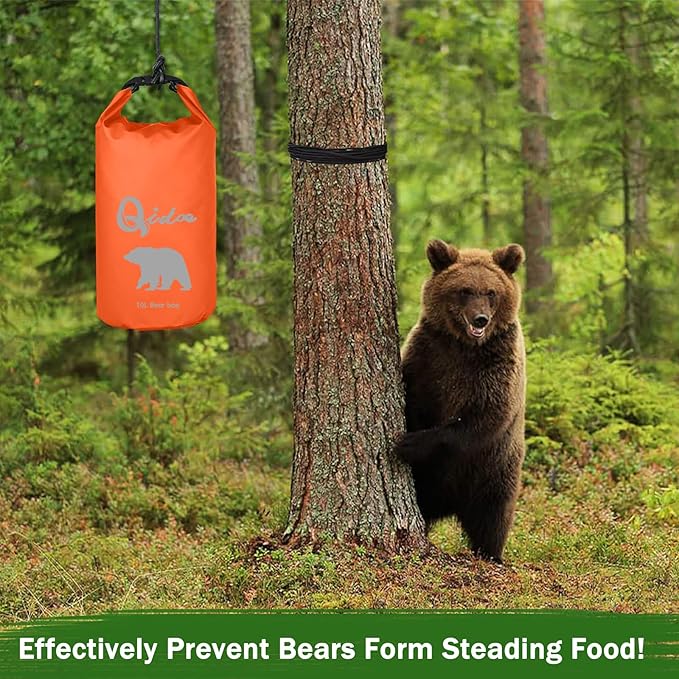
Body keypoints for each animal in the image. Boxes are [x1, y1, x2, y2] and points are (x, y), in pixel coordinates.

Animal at [395, 240, 526, 563]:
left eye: (491, 292)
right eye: (464, 290)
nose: (481, 319)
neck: (465, 347)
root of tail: (449, 506)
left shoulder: (498, 368)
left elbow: (483, 419)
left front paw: (408, 443)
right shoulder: (429, 356)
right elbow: (413, 398)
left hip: (494, 472)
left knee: (493, 517)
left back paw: (492, 554)